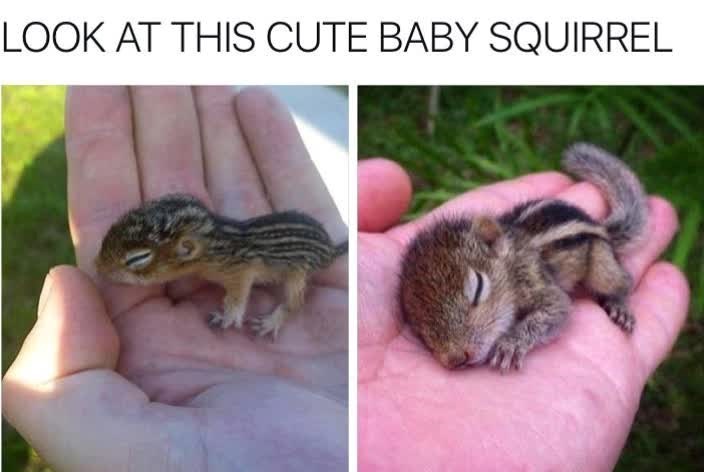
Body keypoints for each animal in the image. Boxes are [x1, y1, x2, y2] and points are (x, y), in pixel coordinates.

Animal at [95, 194, 347, 338]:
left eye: (138, 258)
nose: (97, 267)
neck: (216, 242)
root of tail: (330, 250)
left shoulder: (241, 270)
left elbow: (239, 295)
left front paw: (228, 316)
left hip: (298, 274)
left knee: (295, 303)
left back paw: (270, 322)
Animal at [400, 143, 648, 372]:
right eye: (417, 326)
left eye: (478, 288)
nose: (456, 359)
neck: (511, 263)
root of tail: (600, 226)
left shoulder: (535, 280)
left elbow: (557, 309)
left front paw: (510, 344)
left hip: (601, 263)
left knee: (622, 281)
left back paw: (619, 305)